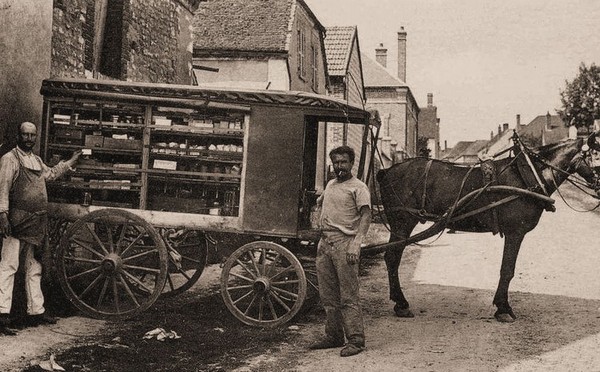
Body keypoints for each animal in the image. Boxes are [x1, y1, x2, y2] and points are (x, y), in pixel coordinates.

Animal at [376, 134, 600, 322]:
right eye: (595, 153)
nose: (597, 184)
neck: (527, 174)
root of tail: (387, 171)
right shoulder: (515, 232)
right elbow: (507, 270)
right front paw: (503, 308)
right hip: (402, 222)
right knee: (392, 258)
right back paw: (401, 303)